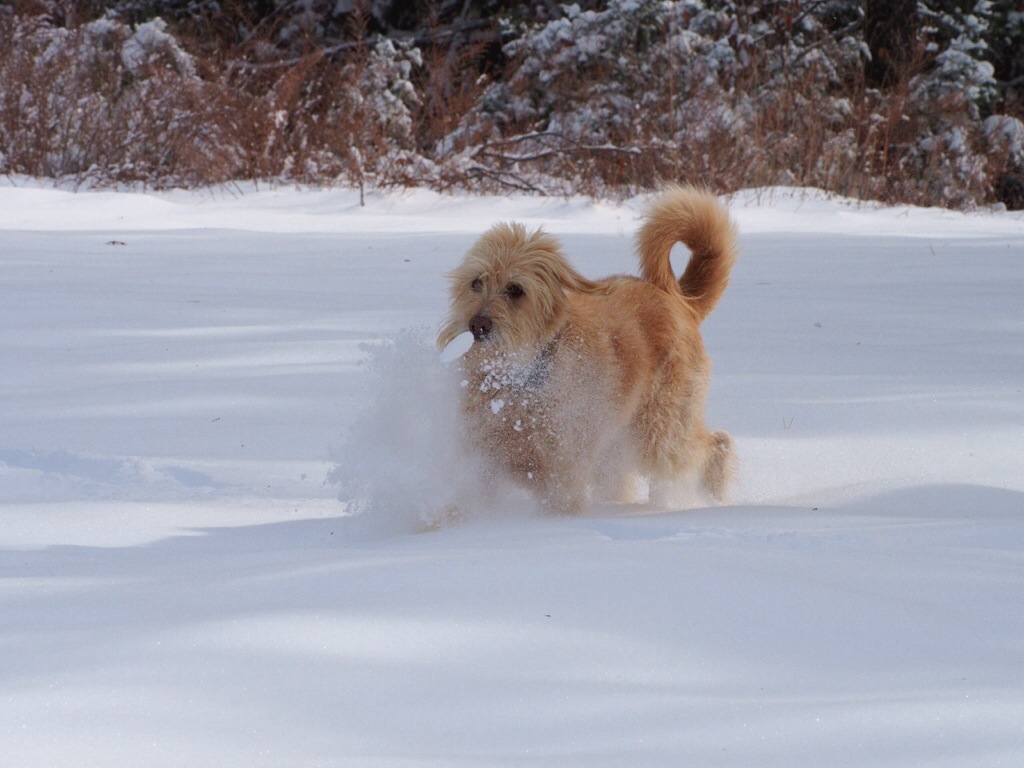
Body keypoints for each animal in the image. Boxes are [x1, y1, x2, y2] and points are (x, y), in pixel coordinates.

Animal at [437, 185, 738, 515]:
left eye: (516, 289)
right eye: (476, 282)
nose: (477, 324)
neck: (520, 379)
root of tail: (680, 301)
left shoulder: (562, 474)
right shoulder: (482, 462)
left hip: (661, 430)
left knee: (716, 444)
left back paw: (705, 499)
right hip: (618, 446)